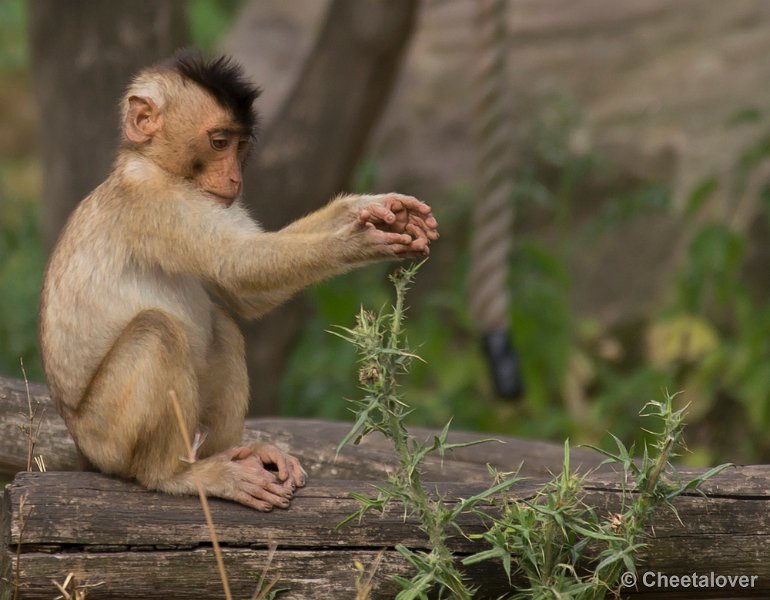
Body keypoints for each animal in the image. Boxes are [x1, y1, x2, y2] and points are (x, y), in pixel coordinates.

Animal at [40, 52, 438, 510]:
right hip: (107, 437)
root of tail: (82, 446)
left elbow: (243, 295)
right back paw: (176, 474)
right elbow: (236, 267)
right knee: (157, 331)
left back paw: (235, 454)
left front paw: (371, 209)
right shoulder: (155, 202)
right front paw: (357, 241)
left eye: (240, 146)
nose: (235, 179)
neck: (152, 165)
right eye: (218, 142)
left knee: (223, 326)